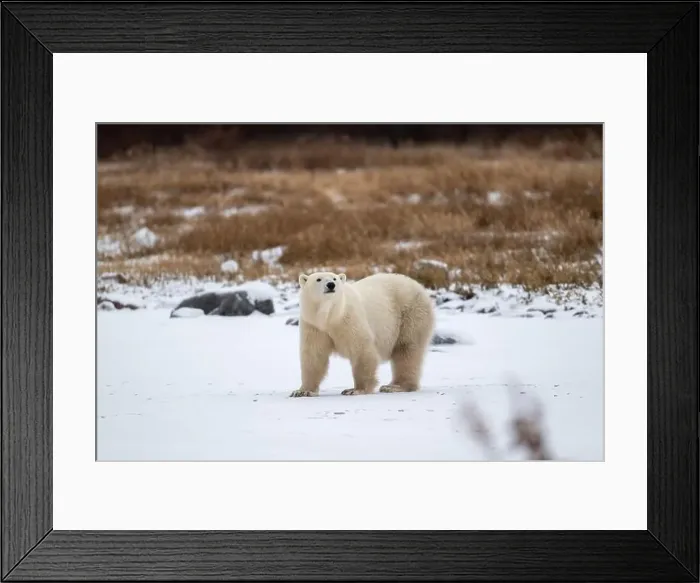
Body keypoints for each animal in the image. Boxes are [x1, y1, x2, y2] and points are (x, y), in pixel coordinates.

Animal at [289, 271, 435, 397]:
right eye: (318, 279)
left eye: (334, 278)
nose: (331, 285)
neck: (330, 317)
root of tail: (419, 286)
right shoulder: (314, 326)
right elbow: (314, 356)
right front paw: (302, 391)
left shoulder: (349, 319)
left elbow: (361, 350)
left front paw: (355, 390)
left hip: (411, 313)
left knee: (406, 350)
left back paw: (395, 386)